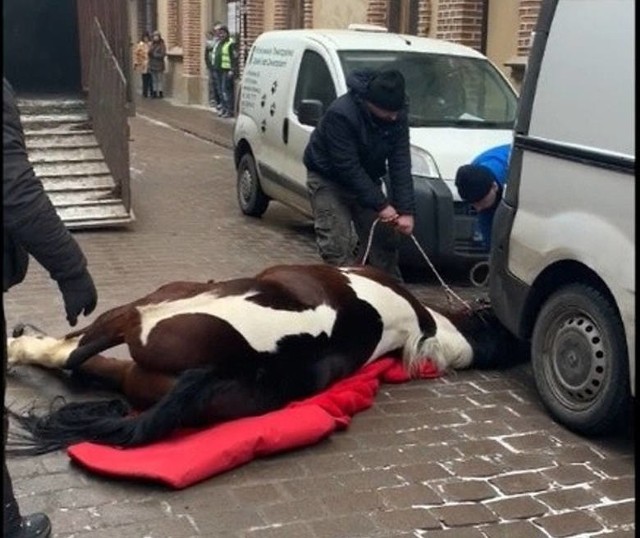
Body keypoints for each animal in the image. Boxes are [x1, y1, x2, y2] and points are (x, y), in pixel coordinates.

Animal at [6, 264, 520, 452]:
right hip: (141, 372)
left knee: (76, 349)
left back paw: (18, 346)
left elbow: (74, 343)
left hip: (150, 307)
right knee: (81, 360)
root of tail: (220, 364)